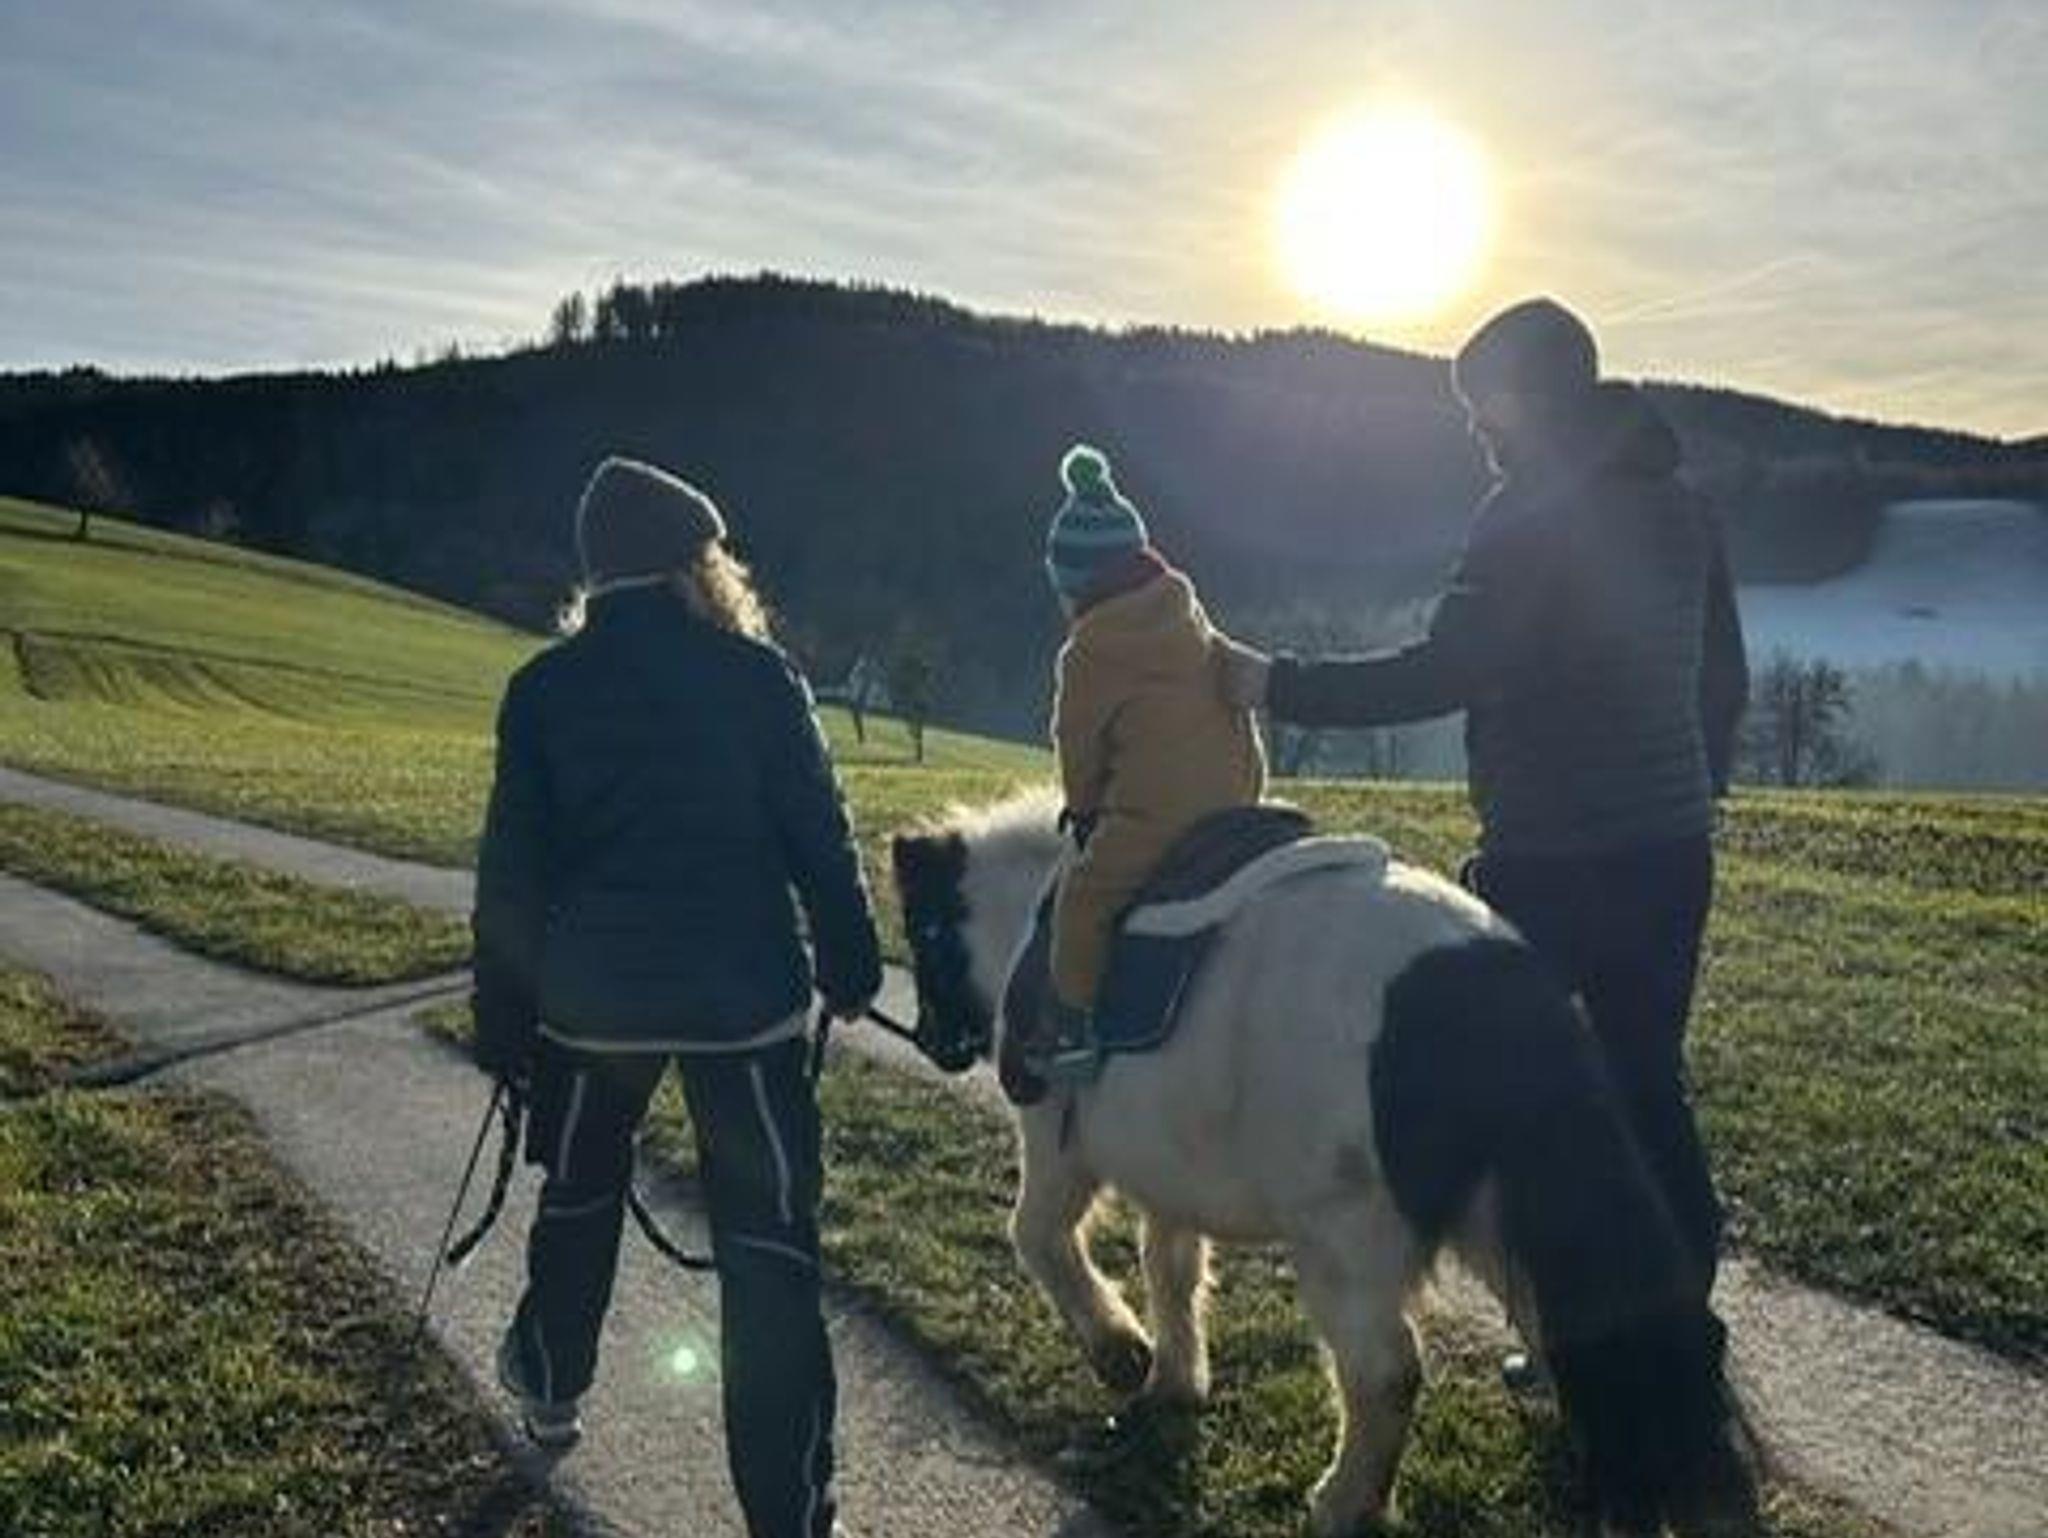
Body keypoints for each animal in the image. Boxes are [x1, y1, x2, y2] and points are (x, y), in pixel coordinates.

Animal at [890, 793, 1758, 1538]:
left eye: (923, 931)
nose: (932, 1040)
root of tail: (1485, 988)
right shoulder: (1168, 1173)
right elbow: (1170, 1267)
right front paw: (1174, 1377)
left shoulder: (1056, 1149)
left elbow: (1038, 1237)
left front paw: (1120, 1351)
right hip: (1504, 1222)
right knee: (1595, 1338)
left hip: (1344, 1241)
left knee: (1386, 1371)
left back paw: (1344, 1502)